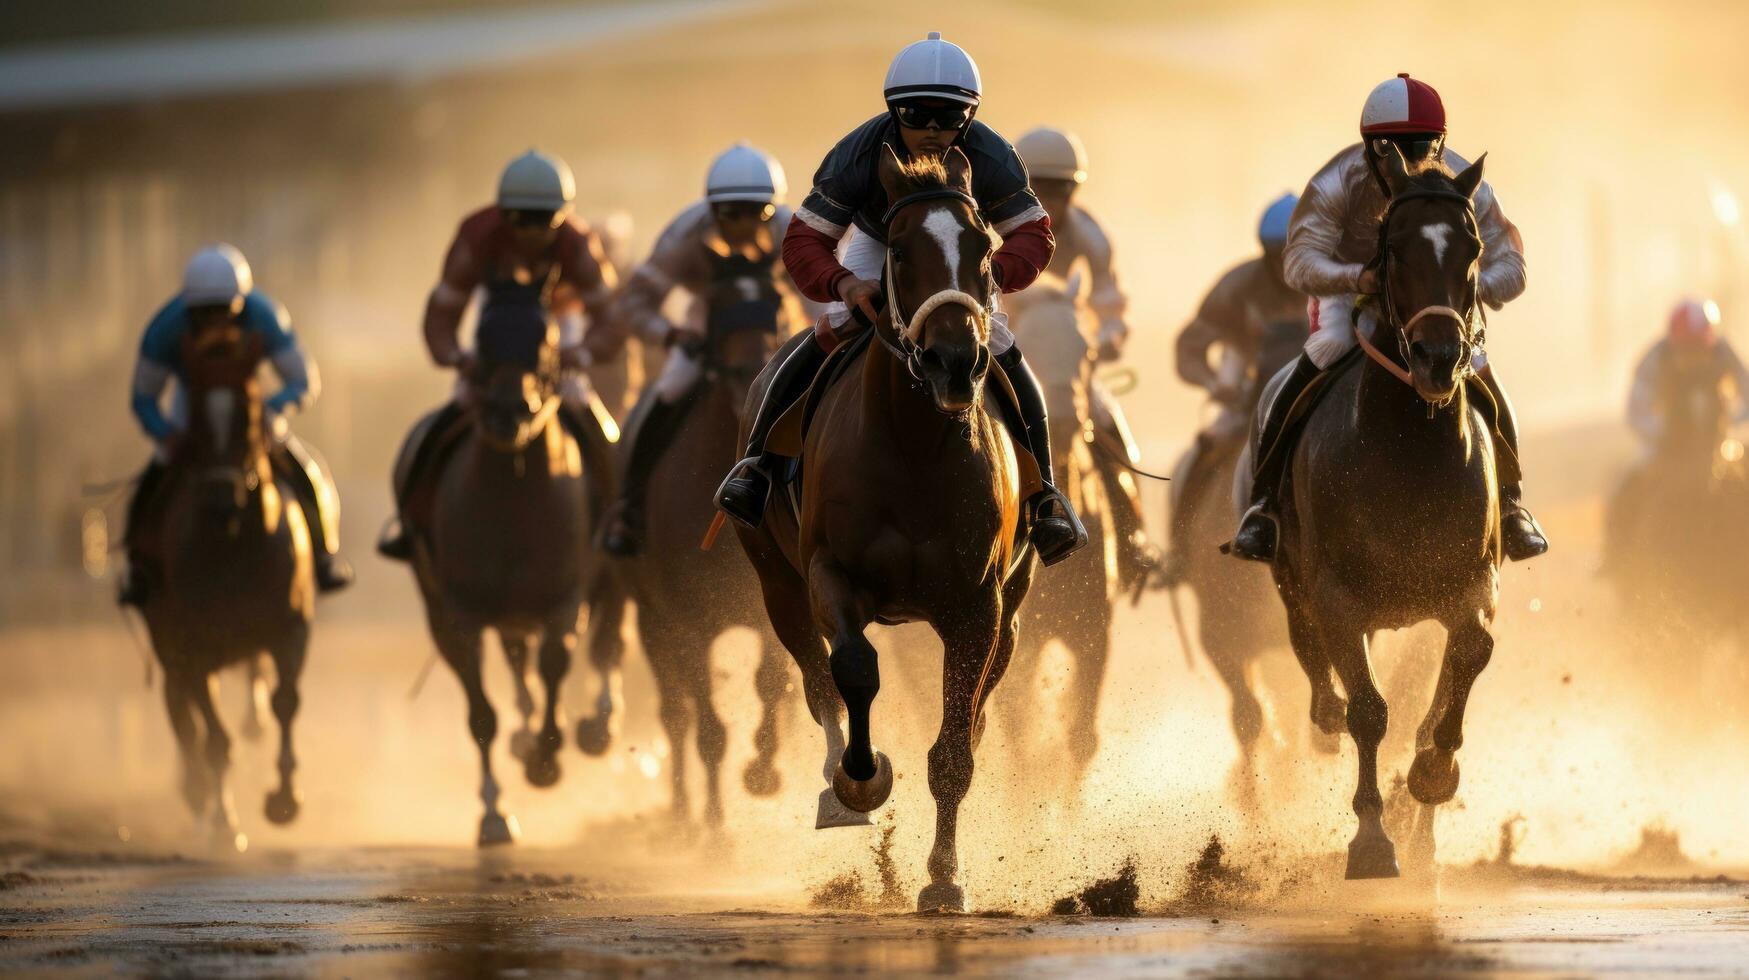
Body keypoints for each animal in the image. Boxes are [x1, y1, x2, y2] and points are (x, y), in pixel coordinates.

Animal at [402, 304, 601, 843]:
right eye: (483, 344)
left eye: (546, 342)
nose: (509, 412)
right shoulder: (458, 616)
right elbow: (481, 713)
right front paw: (493, 813)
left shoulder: (564, 597)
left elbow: (554, 663)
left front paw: (545, 761)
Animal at [598, 306, 797, 826]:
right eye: (720, 308)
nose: (751, 370)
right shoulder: (689, 623)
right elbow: (707, 725)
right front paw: (714, 827)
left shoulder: (768, 607)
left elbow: (771, 684)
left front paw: (763, 771)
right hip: (652, 622)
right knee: (675, 713)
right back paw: (684, 816)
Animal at [731, 145, 1028, 910]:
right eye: (897, 250)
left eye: (984, 248)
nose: (955, 360)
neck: (914, 448)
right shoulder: (828, 576)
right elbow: (854, 670)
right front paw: (860, 781)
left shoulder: (979, 606)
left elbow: (954, 745)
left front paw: (944, 877)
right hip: (775, 582)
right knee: (817, 683)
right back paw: (836, 783)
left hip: (1012, 609)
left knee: (977, 706)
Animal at [1259, 147, 1504, 882]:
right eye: (1394, 250)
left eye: (1472, 248)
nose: (1438, 358)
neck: (1409, 454)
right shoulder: (1337, 594)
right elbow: (1368, 710)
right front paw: (1370, 840)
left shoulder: (1470, 583)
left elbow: (1459, 673)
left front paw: (1431, 775)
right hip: (1291, 577)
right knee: (1318, 668)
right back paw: (1326, 711)